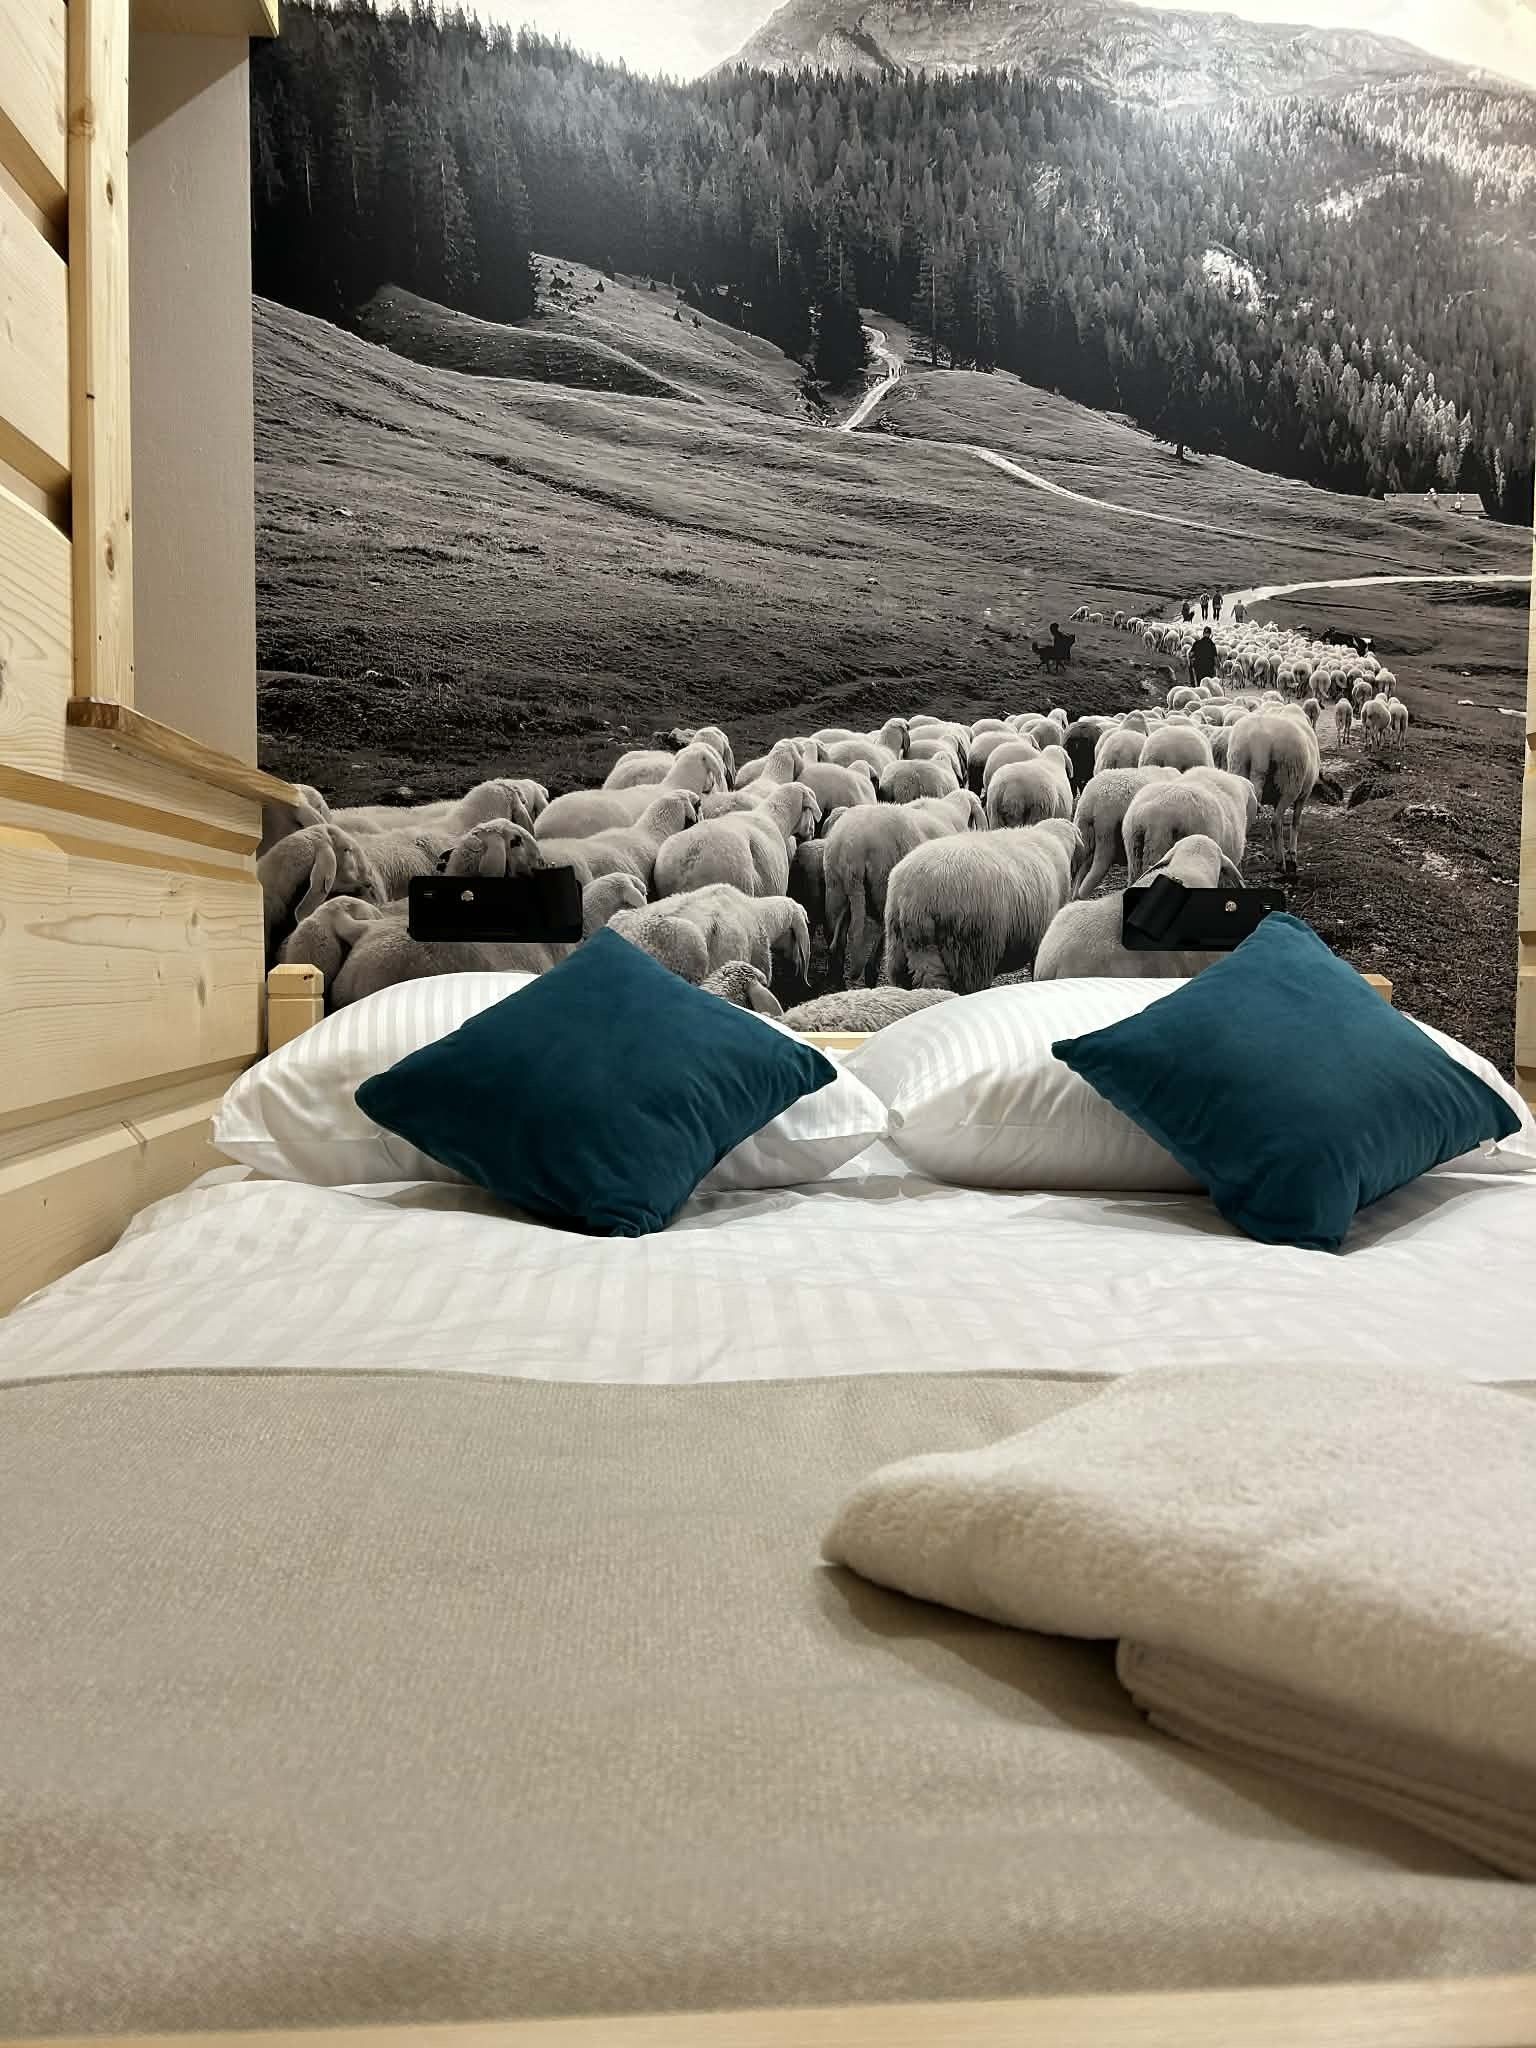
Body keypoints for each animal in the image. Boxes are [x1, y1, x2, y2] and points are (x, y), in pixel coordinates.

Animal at [1225, 711, 1320, 875]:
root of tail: (1259, 739)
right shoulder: (1304, 795)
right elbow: (1295, 823)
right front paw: (1292, 855)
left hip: (1238, 764)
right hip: (1289, 782)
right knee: (1275, 823)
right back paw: (1280, 862)